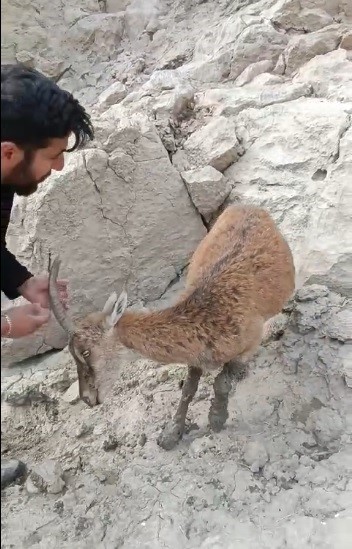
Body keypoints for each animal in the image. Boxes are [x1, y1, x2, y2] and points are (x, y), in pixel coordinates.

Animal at [48, 203, 294, 448]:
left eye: (85, 352)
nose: (87, 398)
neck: (207, 316)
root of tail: (246, 206)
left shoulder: (247, 344)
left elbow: (221, 383)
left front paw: (216, 420)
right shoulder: (195, 357)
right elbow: (188, 389)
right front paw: (171, 434)